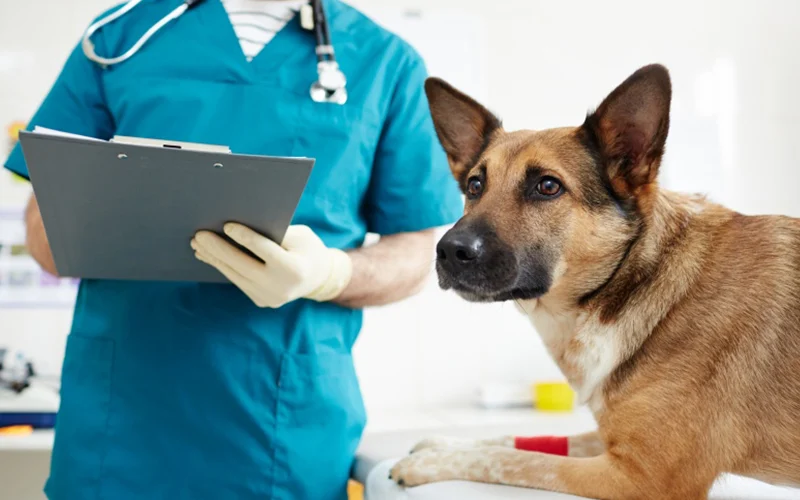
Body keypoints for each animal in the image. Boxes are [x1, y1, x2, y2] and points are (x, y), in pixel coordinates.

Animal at [388, 64, 800, 498]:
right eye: (474, 185)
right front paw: (441, 443)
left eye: (547, 186)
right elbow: (522, 441)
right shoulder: (612, 442)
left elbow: (517, 460)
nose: (449, 251)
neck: (634, 277)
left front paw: (430, 463)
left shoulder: (641, 478)